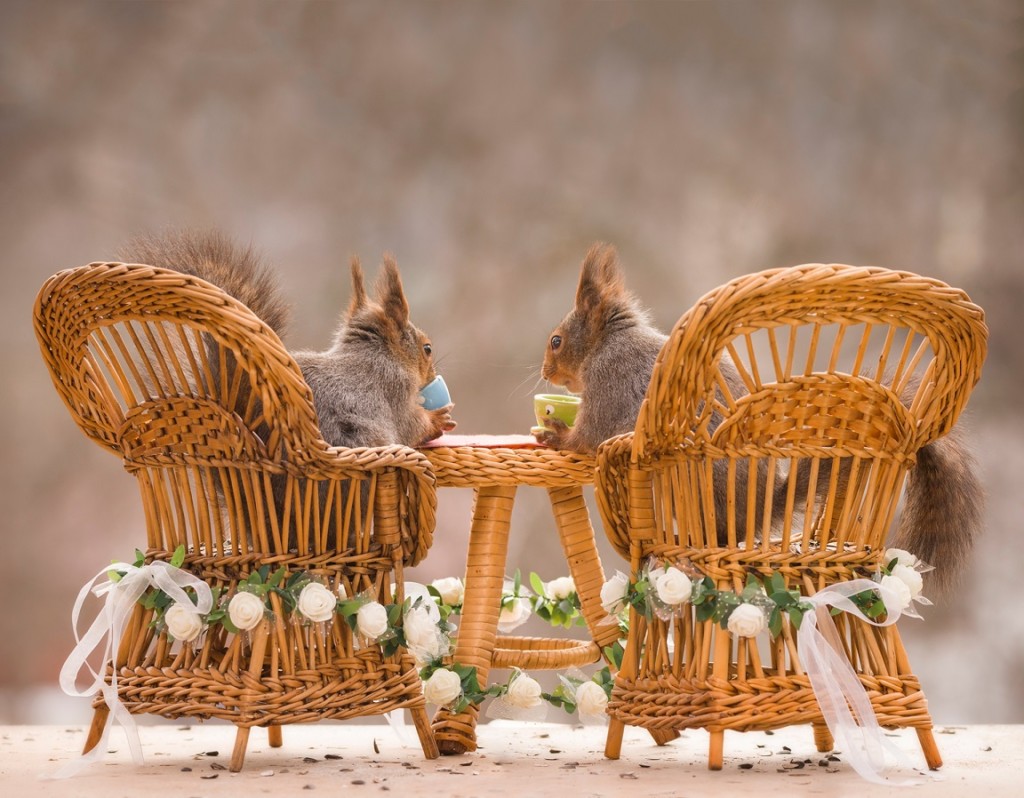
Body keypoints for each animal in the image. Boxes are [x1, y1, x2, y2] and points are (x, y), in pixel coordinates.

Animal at [116, 229, 456, 448]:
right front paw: (437, 420)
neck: (376, 353)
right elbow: (410, 425)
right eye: (427, 348)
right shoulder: (394, 389)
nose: (433, 375)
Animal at [536, 243, 983, 594]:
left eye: (556, 341)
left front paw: (556, 433)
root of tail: (760, 509)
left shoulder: (610, 383)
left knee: (723, 537)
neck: (608, 343)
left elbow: (587, 438)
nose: (545, 372)